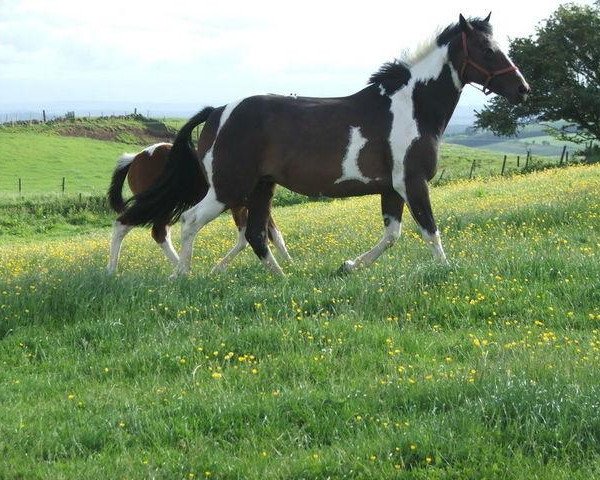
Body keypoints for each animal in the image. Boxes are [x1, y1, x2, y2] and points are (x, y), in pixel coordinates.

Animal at [106, 142, 292, 274]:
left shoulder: (246, 206)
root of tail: (137, 157)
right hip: (157, 204)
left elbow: (272, 236)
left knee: (158, 233)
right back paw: (112, 271)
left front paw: (292, 265)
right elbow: (248, 238)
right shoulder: (241, 206)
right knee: (127, 224)